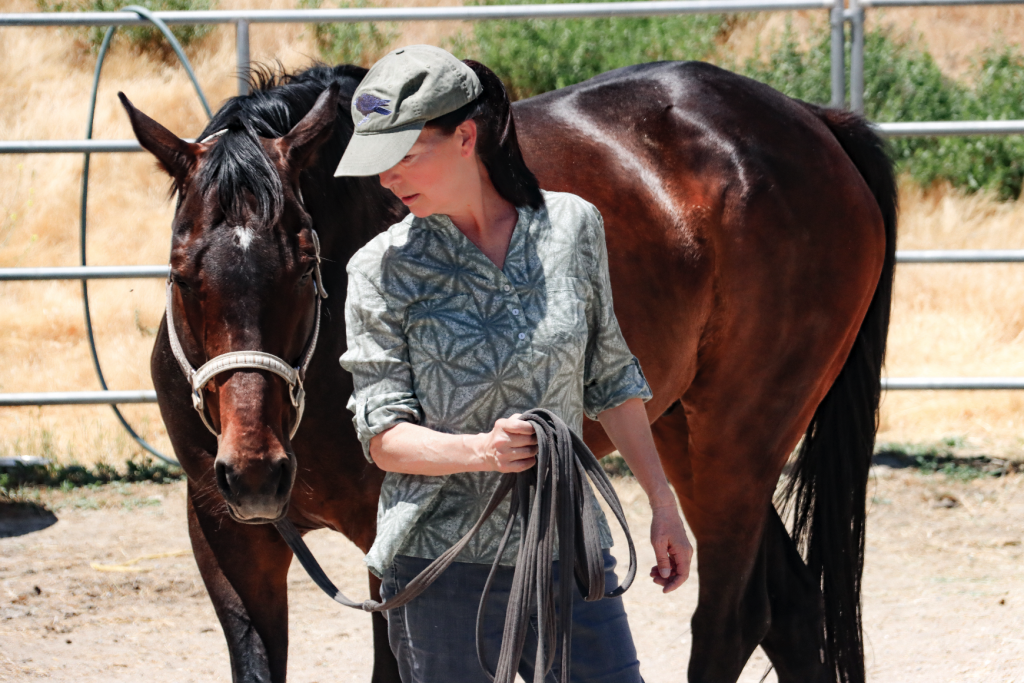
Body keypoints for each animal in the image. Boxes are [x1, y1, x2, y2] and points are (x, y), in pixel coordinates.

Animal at [123, 58, 897, 683]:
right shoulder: (227, 535)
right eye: (180, 270)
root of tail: (813, 123)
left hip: (738, 444)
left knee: (733, 618)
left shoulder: (390, 546)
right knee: (792, 610)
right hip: (681, 435)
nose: (256, 471)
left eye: (305, 261)